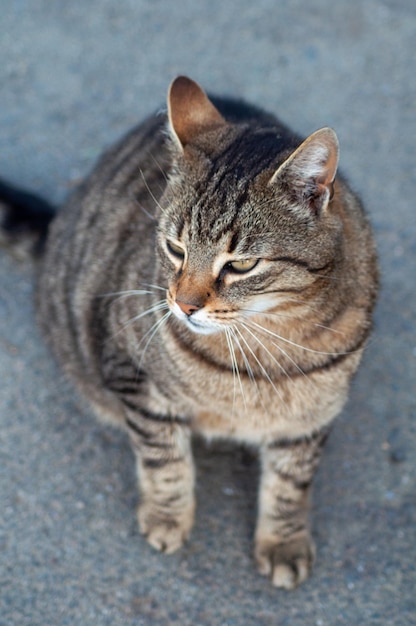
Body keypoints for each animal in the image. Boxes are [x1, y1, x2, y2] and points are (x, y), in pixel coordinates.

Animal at [0, 75, 376, 588]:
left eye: (241, 265)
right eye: (175, 248)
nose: (183, 304)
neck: (263, 342)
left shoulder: (311, 417)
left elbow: (290, 485)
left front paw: (283, 542)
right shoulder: (132, 374)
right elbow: (164, 459)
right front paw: (167, 519)